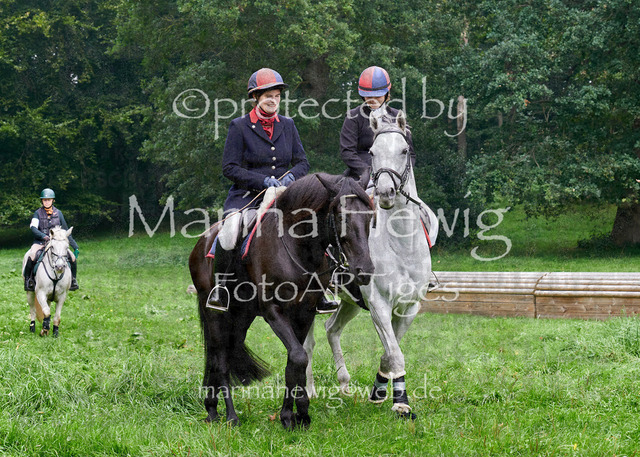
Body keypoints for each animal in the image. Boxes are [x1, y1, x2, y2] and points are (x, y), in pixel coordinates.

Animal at [189, 172, 374, 430]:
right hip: (215, 314)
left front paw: (293, 415)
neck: (297, 248)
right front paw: (298, 412)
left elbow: (294, 361)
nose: (364, 270)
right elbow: (298, 357)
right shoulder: (274, 312)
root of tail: (202, 242)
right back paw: (230, 416)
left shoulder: (305, 312)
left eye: (370, 214)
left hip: (241, 318)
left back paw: (212, 408)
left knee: (225, 351)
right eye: (339, 215)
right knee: (220, 358)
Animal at [305, 110, 433, 419]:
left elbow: (389, 352)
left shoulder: (409, 307)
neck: (401, 244)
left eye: (404, 150)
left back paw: (344, 383)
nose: (386, 193)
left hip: (349, 302)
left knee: (332, 328)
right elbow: (395, 353)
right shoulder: (378, 303)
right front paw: (401, 404)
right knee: (306, 343)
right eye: (372, 152)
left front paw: (380, 392)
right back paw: (309, 390)